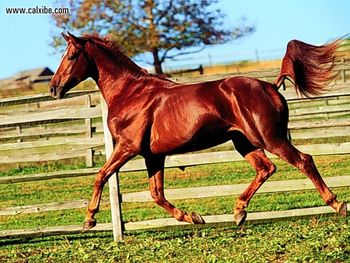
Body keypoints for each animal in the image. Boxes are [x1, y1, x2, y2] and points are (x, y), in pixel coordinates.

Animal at [50, 32, 348, 231]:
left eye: (72, 56)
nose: (54, 88)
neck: (130, 93)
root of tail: (271, 86)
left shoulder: (128, 147)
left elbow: (101, 176)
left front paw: (89, 219)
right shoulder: (153, 156)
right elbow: (156, 193)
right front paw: (192, 217)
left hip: (270, 138)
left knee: (303, 160)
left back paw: (337, 204)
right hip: (244, 142)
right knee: (266, 169)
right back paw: (238, 212)